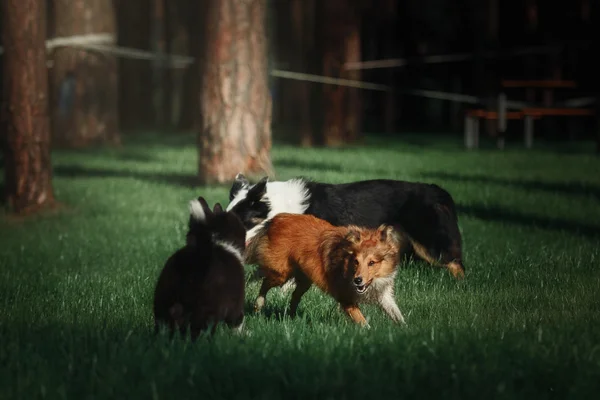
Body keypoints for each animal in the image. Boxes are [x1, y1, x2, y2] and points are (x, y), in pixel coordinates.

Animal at [245, 212, 408, 324]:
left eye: (372, 263)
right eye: (356, 261)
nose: (357, 281)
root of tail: (276, 219)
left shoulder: (383, 295)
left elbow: (396, 313)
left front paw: (405, 331)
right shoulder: (345, 298)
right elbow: (362, 322)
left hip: (305, 279)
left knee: (294, 296)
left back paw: (292, 318)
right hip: (281, 274)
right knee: (265, 283)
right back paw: (258, 305)